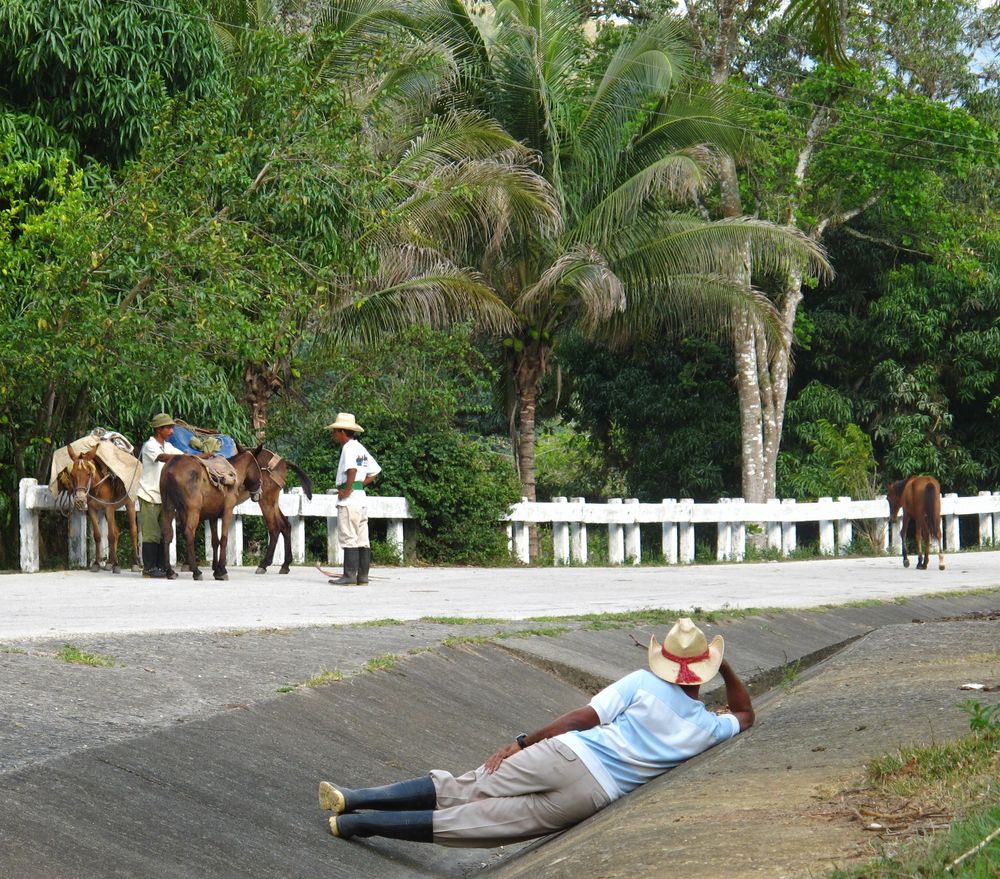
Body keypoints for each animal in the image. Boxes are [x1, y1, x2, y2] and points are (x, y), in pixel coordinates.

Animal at [58, 444, 141, 576]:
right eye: (72, 475)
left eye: (88, 474)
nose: (80, 499)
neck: (96, 486)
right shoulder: (93, 509)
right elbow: (98, 535)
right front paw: (97, 564)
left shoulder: (108, 508)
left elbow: (111, 536)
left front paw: (116, 565)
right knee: (117, 531)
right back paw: (109, 563)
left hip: (130, 503)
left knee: (133, 530)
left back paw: (135, 564)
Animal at [160, 450, 264, 580]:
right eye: (258, 467)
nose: (259, 493)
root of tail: (171, 467)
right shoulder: (228, 511)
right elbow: (224, 539)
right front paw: (221, 570)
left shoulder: (212, 516)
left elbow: (215, 541)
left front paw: (216, 568)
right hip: (193, 510)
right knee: (189, 533)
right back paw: (196, 571)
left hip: (168, 508)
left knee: (167, 535)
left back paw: (170, 571)